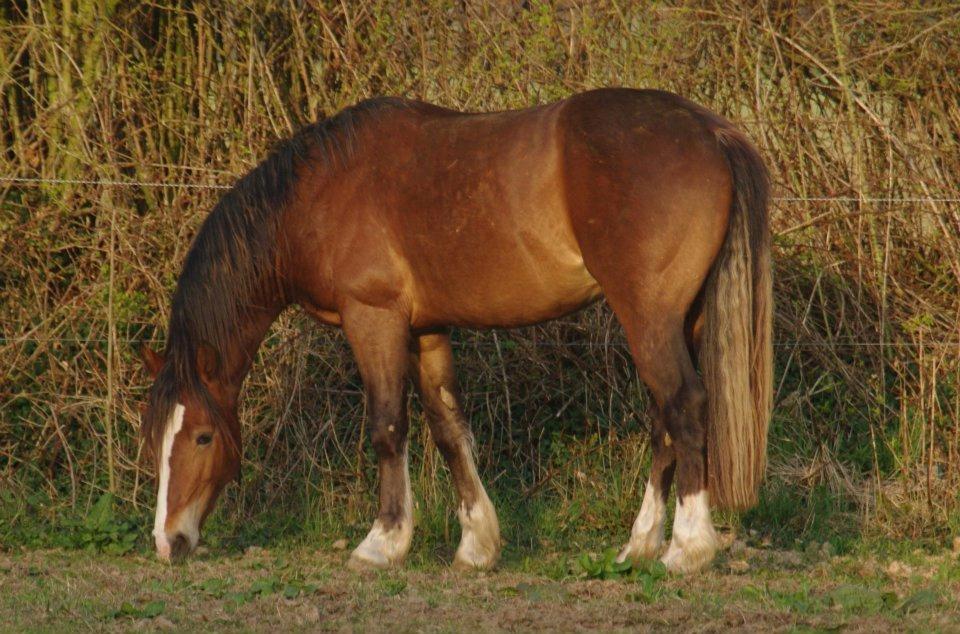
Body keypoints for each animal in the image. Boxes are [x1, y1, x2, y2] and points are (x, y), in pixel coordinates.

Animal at [141, 86, 772, 572]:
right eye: (156, 440)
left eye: (202, 436)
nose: (167, 542)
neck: (318, 193)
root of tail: (709, 129)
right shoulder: (427, 328)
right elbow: (448, 429)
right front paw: (477, 545)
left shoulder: (373, 319)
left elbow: (387, 427)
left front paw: (382, 544)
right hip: (681, 319)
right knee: (663, 421)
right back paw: (639, 545)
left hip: (649, 317)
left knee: (684, 407)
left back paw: (687, 549)